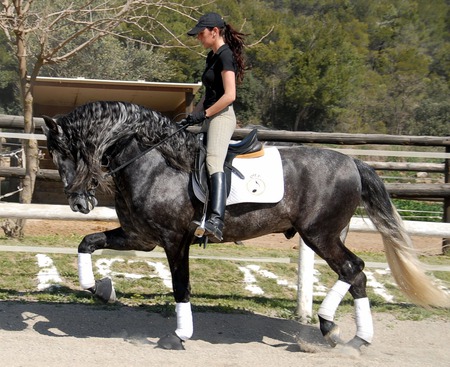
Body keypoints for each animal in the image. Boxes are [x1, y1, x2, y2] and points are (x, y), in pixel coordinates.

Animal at [41, 101, 446, 354]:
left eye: (68, 152)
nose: (78, 203)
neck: (153, 163)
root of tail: (352, 161)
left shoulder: (174, 241)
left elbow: (181, 287)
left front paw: (179, 335)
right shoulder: (141, 238)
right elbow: (87, 242)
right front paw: (99, 288)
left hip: (320, 234)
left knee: (354, 269)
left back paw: (340, 331)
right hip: (328, 235)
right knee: (355, 274)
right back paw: (342, 334)